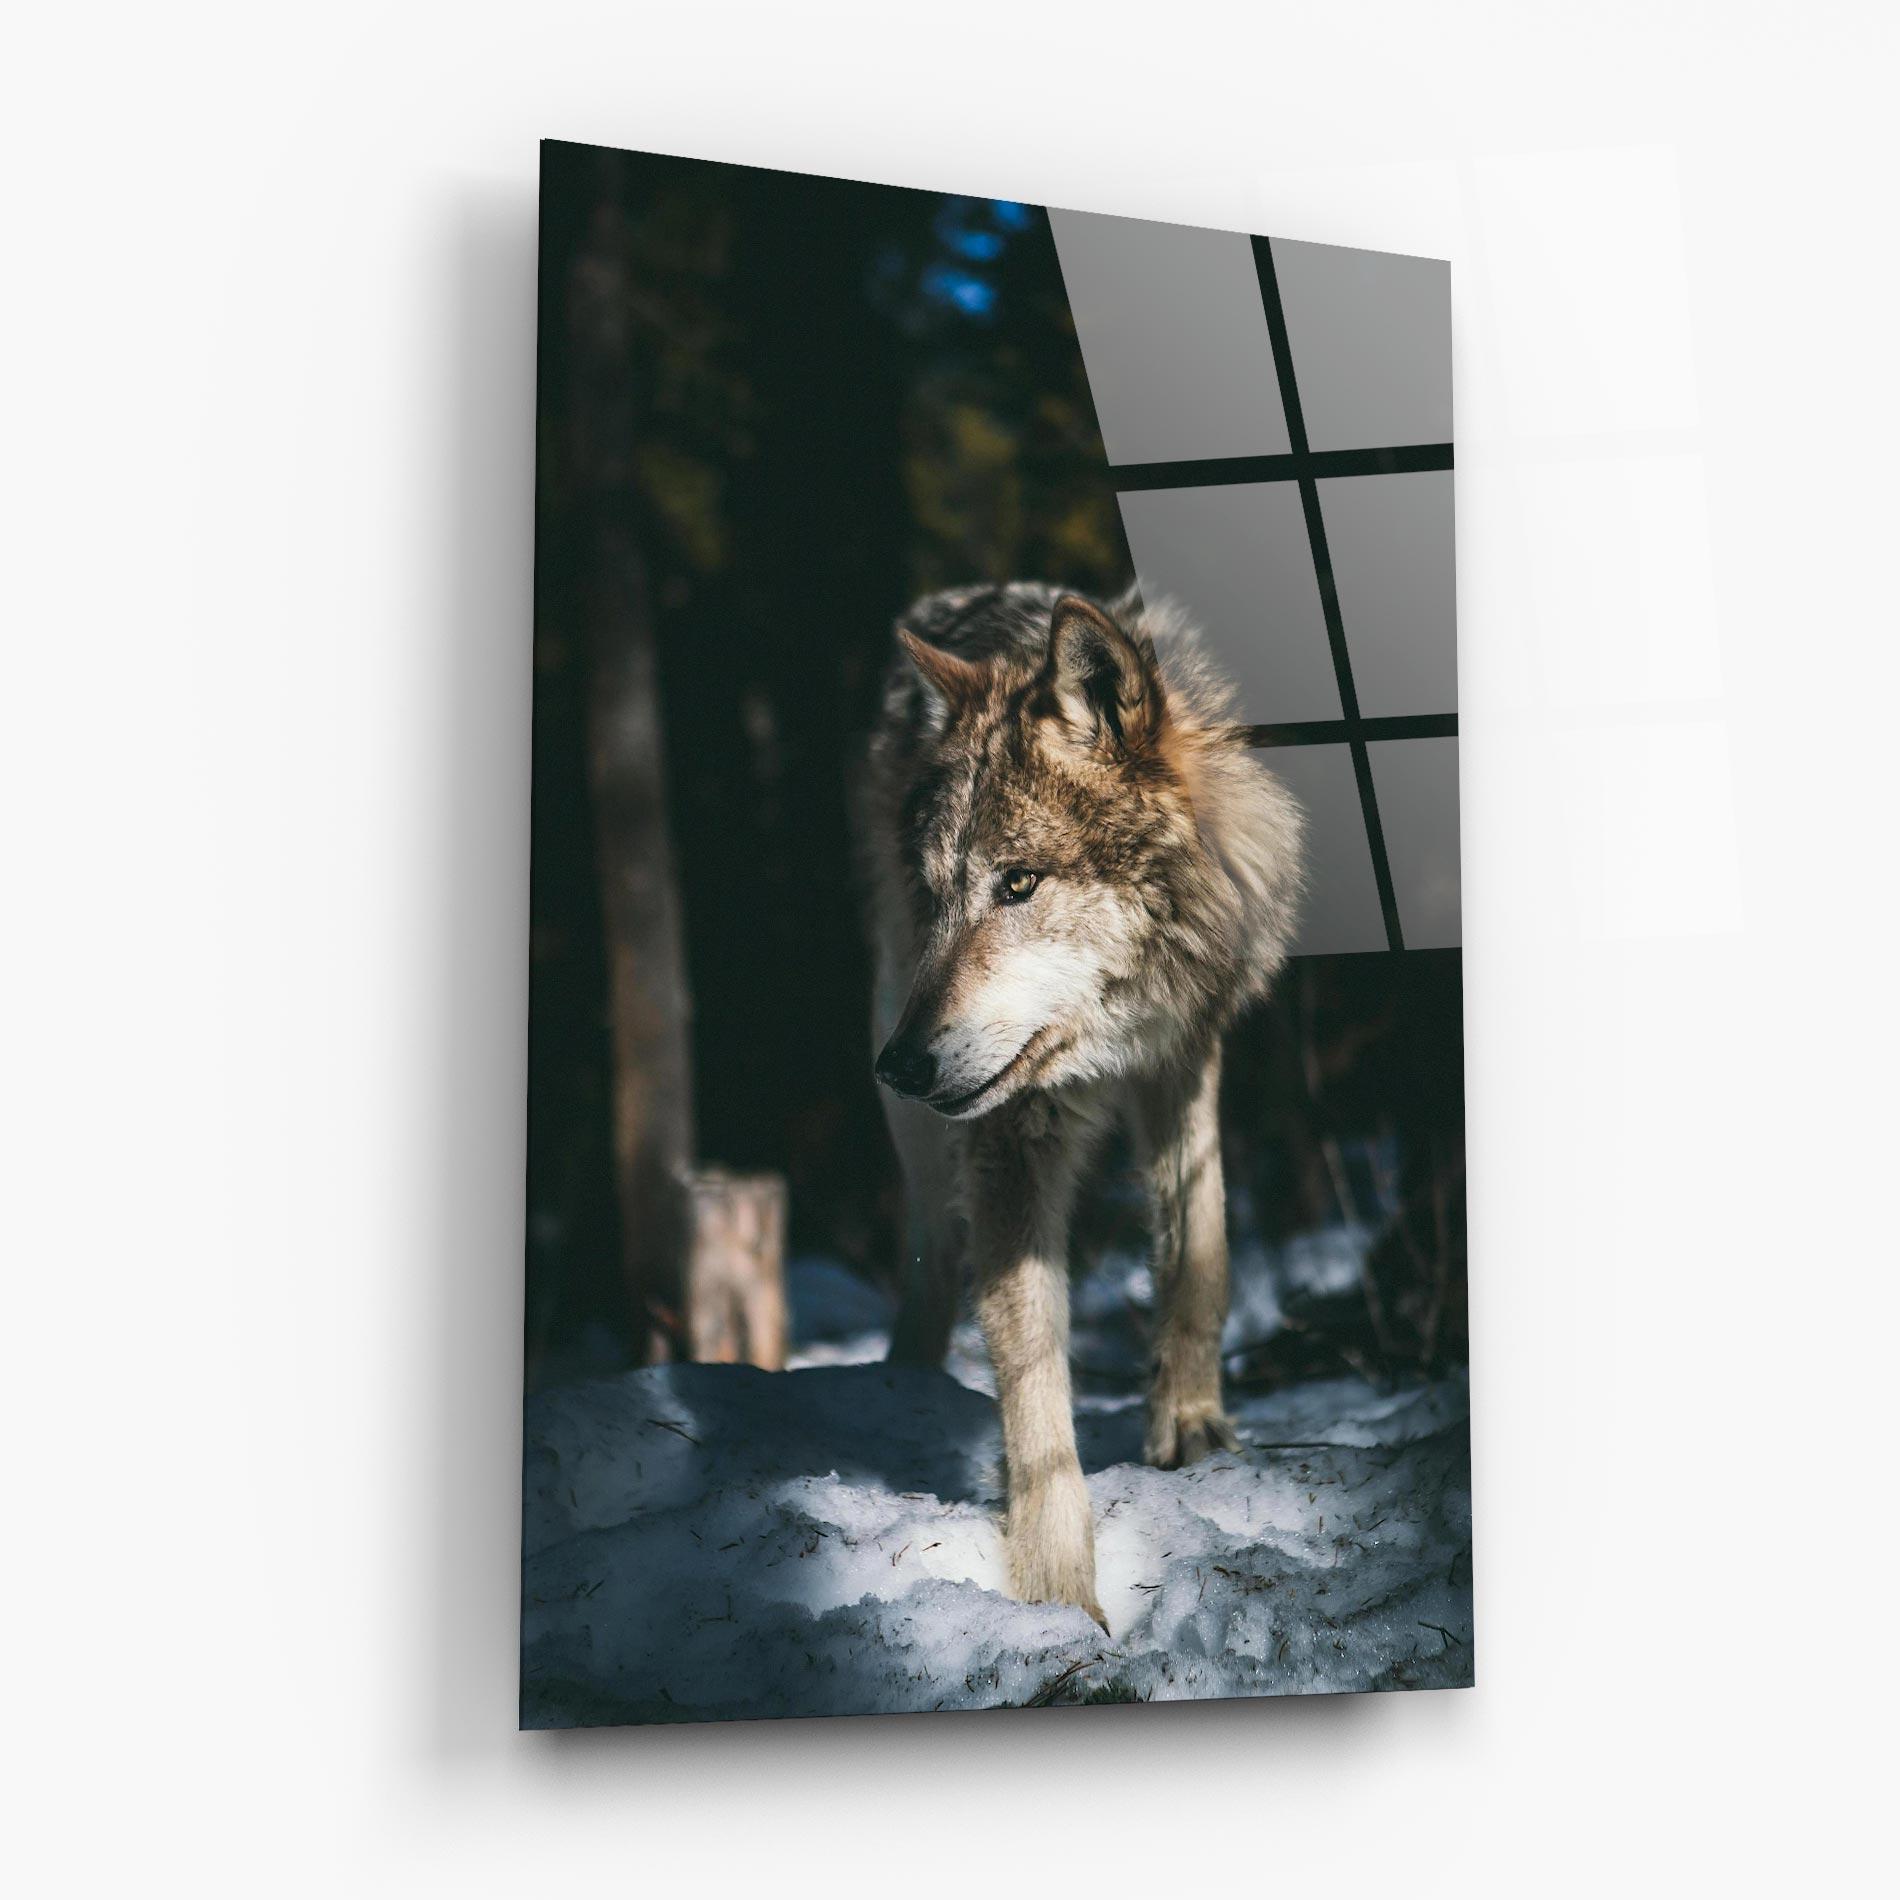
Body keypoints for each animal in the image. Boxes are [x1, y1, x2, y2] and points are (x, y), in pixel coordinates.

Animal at [859, 582, 1304, 1626]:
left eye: (1019, 882)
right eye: (938, 896)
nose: (898, 1065)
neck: (1109, 1034)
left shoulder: (1185, 1050)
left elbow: (1200, 1249)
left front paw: (1191, 1424)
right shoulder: (1008, 1135)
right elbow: (1032, 1381)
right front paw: (1058, 1596)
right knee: (929, 1251)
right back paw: (902, 1381)